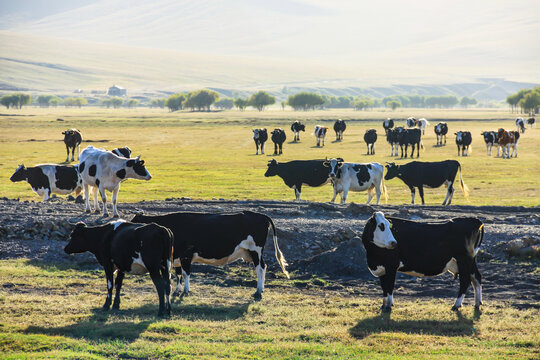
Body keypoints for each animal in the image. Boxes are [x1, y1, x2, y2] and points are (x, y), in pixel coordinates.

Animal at [132, 210, 288, 300]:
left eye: (134, 223)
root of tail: (259, 215)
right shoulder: (177, 256)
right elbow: (178, 274)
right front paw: (177, 290)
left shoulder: (186, 254)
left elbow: (186, 273)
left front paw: (186, 291)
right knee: (262, 267)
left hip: (256, 250)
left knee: (261, 268)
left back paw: (258, 291)